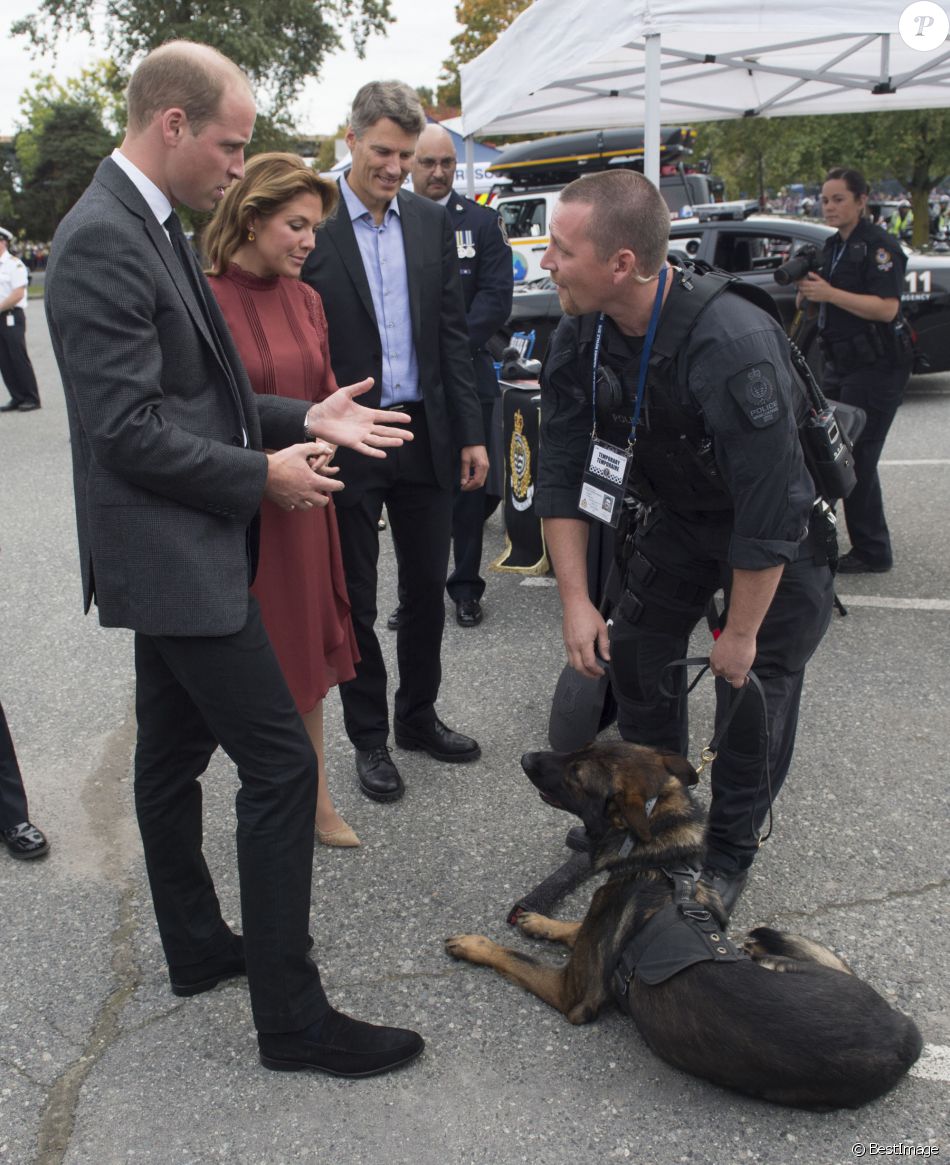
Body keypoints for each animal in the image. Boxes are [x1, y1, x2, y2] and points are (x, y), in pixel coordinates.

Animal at [445, 740, 923, 1104]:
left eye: (577, 773)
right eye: (580, 749)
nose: (526, 757)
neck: (662, 860)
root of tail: (906, 1033)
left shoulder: (572, 993)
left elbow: (513, 956)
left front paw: (474, 944)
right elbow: (573, 927)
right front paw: (539, 921)